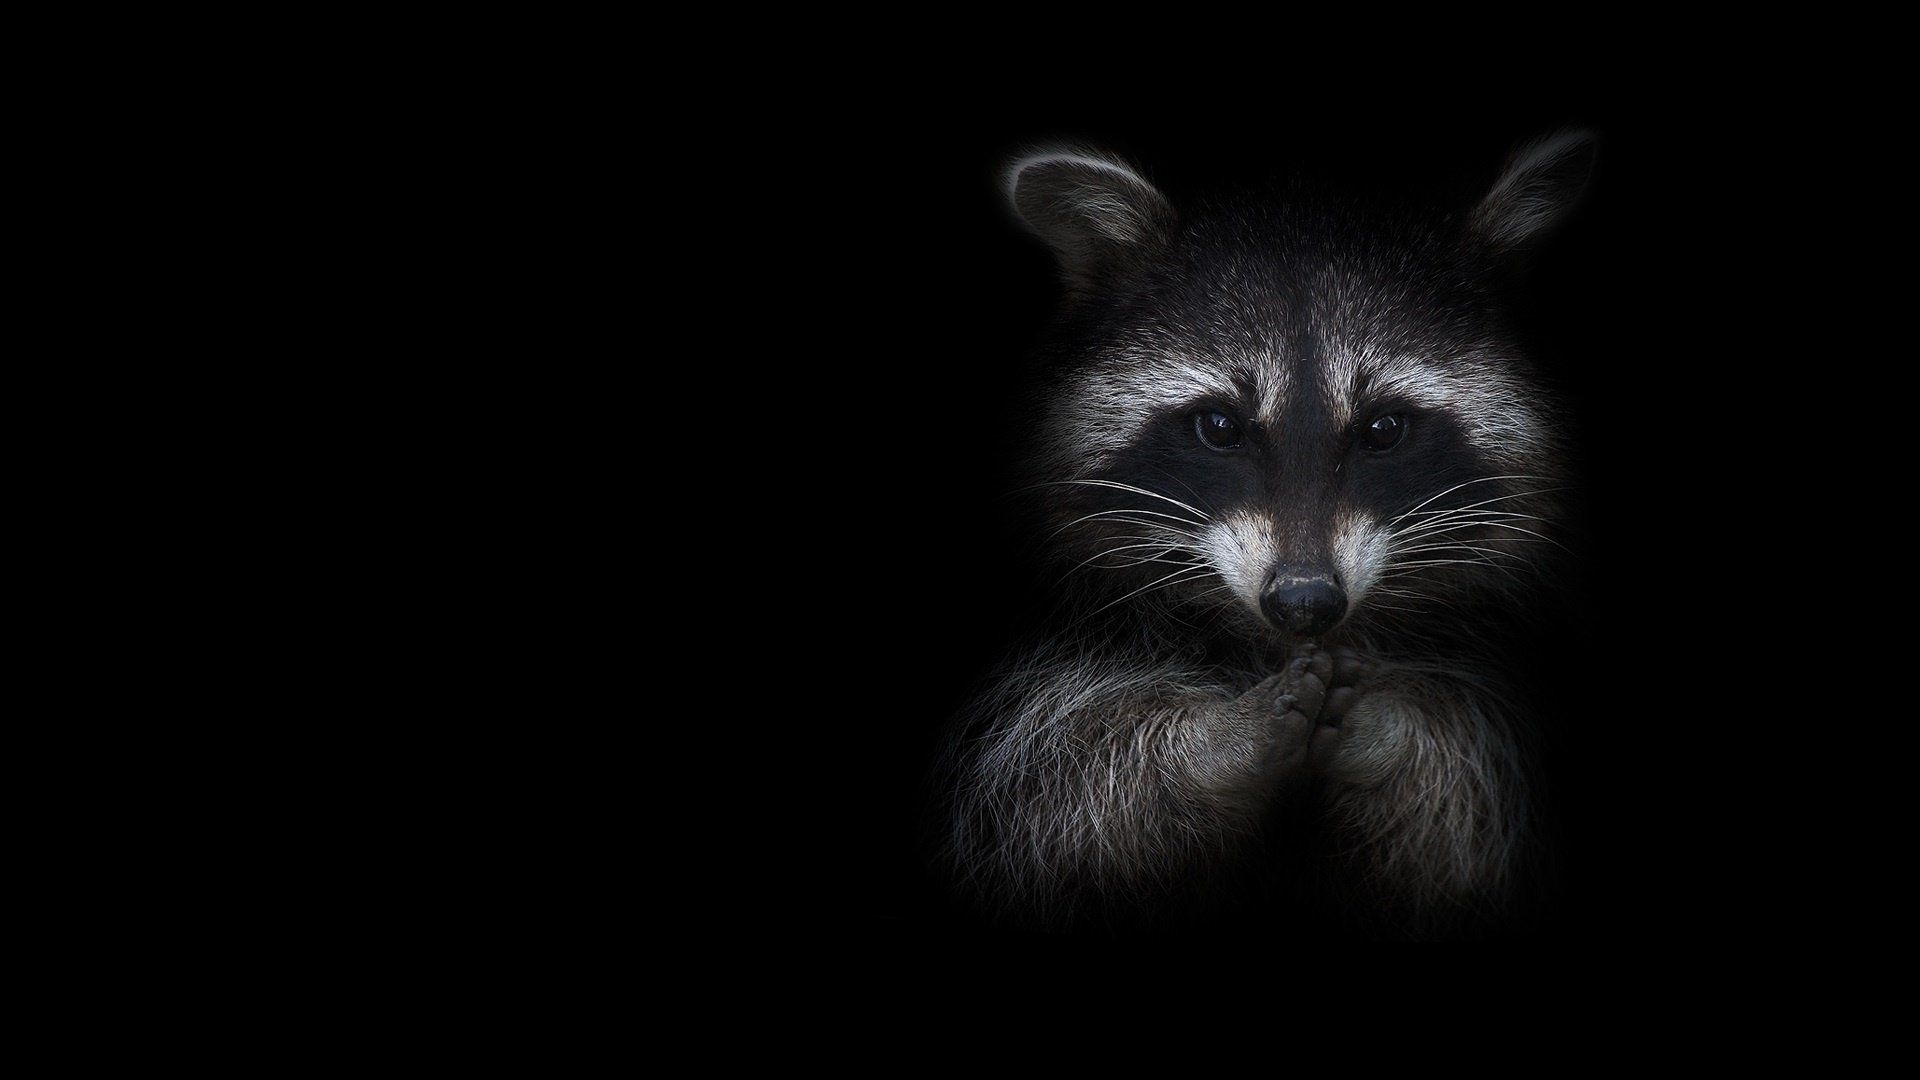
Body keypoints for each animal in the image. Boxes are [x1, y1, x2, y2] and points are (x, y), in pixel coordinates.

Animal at [935, 133, 1596, 937]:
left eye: (1385, 429)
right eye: (1221, 426)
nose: (1305, 602)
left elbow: (1474, 801)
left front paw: (1393, 737)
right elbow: (1049, 785)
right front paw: (1211, 748)